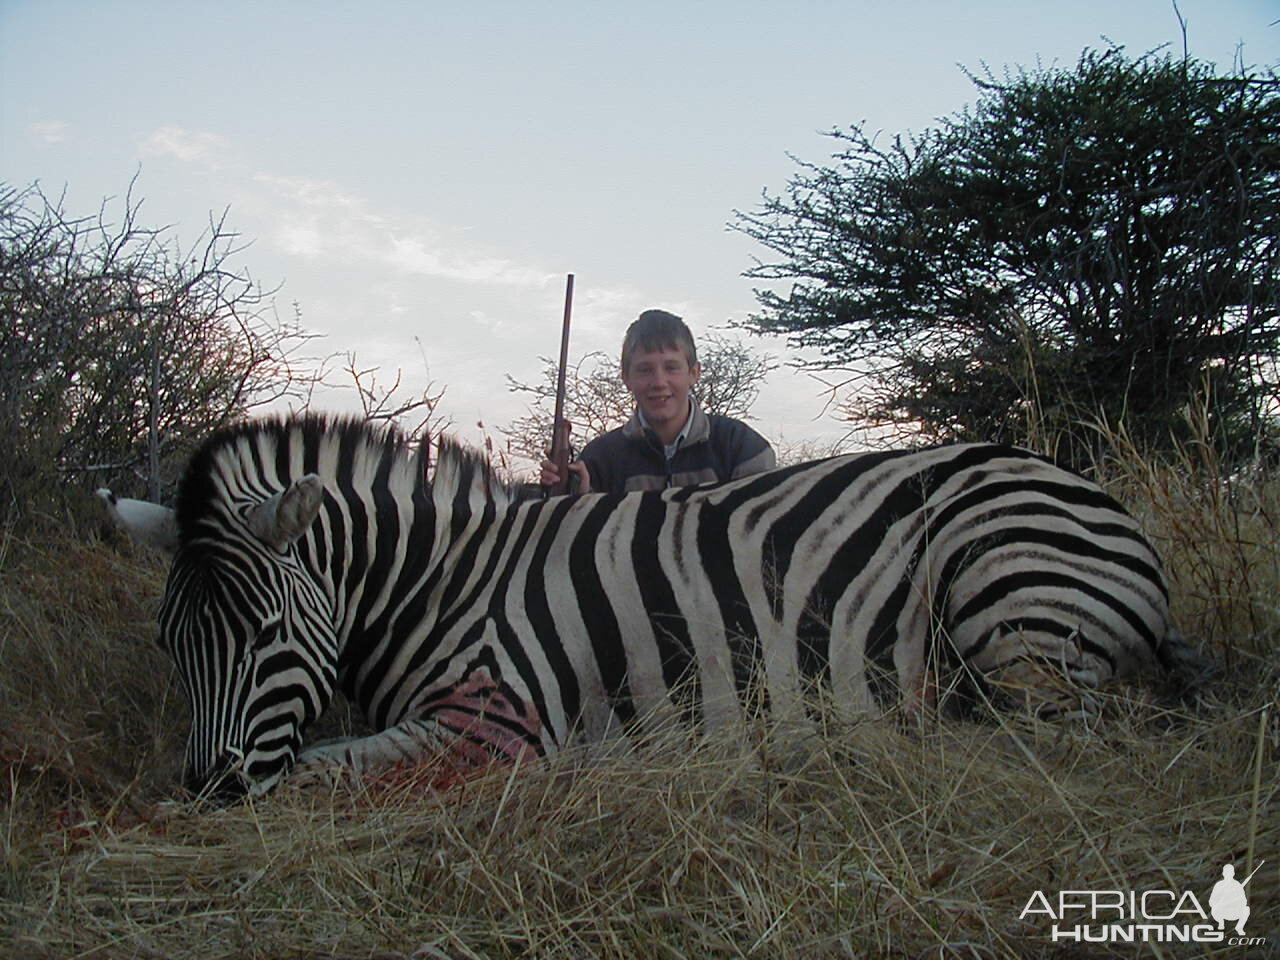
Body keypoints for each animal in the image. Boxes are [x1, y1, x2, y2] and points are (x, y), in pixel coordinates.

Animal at [104, 417, 1192, 798]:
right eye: (167, 644)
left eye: (264, 636)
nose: (204, 789)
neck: (441, 584)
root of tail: (1099, 496)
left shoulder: (498, 728)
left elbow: (317, 771)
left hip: (1001, 600)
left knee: (1036, 740)